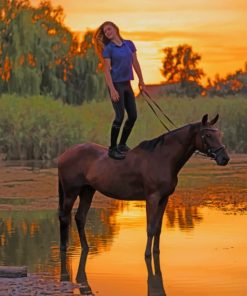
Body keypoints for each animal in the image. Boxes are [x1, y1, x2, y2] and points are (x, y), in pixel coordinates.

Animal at [57, 113, 230, 256]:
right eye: (207, 135)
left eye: (220, 134)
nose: (225, 158)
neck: (162, 158)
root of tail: (64, 154)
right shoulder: (152, 198)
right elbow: (150, 228)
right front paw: (147, 254)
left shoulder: (164, 199)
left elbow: (158, 228)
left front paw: (156, 252)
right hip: (71, 192)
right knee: (65, 218)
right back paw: (64, 248)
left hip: (87, 191)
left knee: (80, 218)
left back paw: (86, 248)